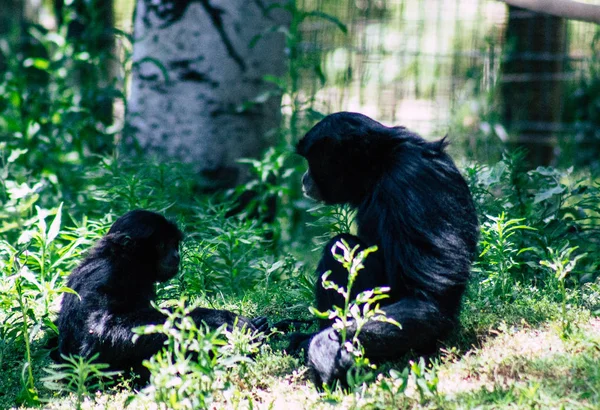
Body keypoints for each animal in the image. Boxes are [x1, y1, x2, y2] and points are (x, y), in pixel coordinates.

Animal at [56, 210, 268, 382]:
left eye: (174, 243)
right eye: (161, 244)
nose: (176, 255)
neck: (124, 260)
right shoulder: (107, 273)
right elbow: (100, 333)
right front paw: (222, 319)